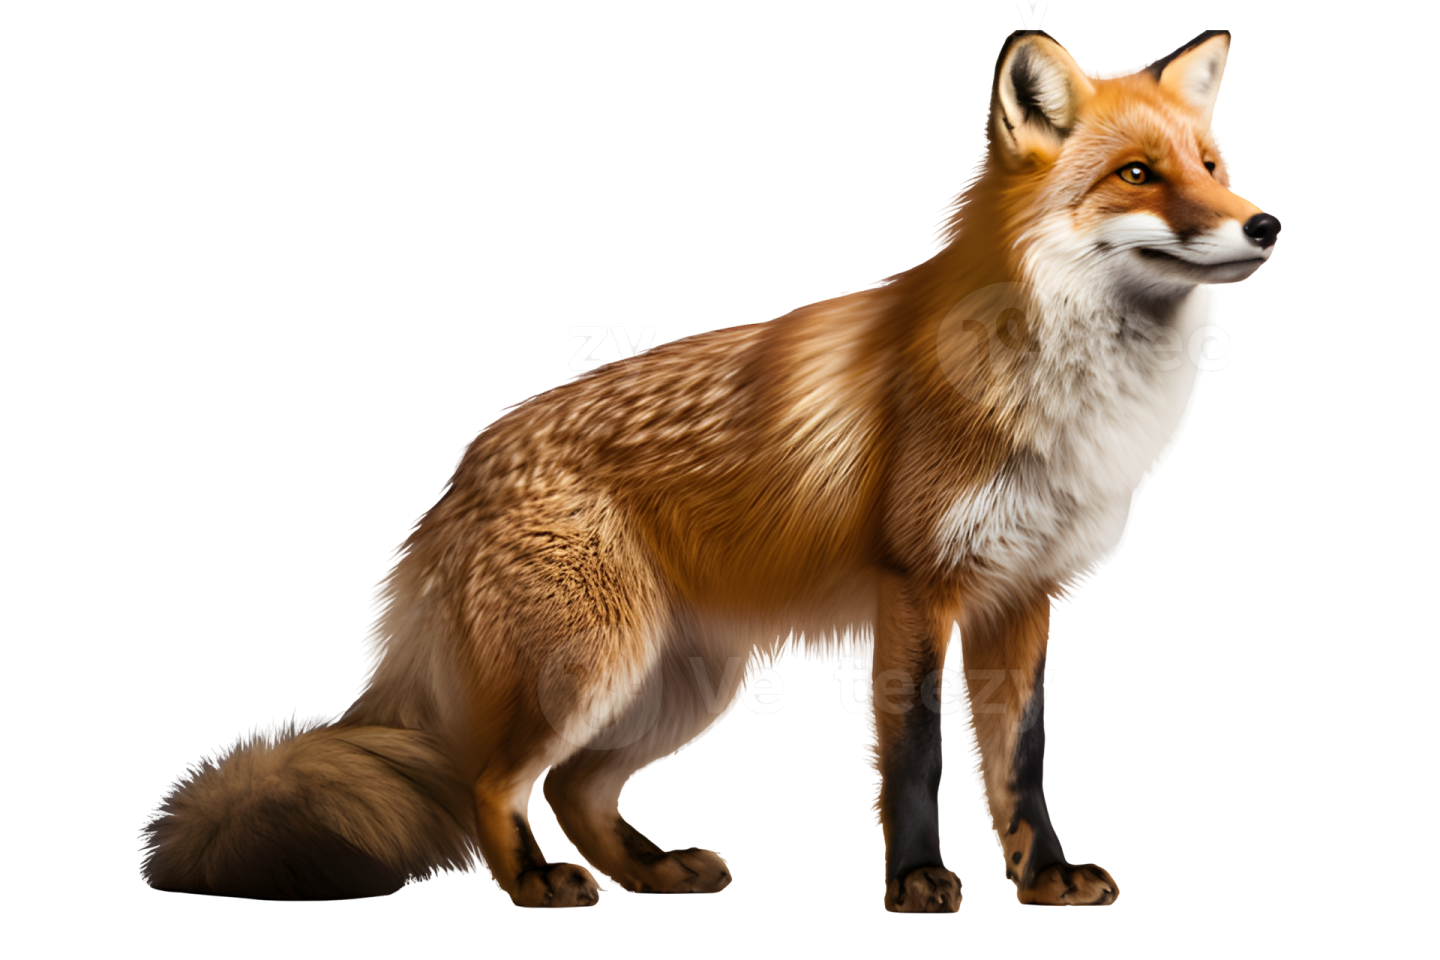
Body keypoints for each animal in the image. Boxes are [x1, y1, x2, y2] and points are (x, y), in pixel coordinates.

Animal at [140, 29, 1280, 912]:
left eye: (1215, 167)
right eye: (1138, 174)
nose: (1265, 222)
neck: (1059, 396)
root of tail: (457, 478)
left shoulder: (1022, 600)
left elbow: (1020, 767)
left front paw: (1042, 881)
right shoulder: (915, 590)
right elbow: (915, 752)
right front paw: (916, 882)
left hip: (678, 687)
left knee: (577, 790)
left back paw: (652, 871)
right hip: (590, 669)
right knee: (490, 780)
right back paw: (536, 884)